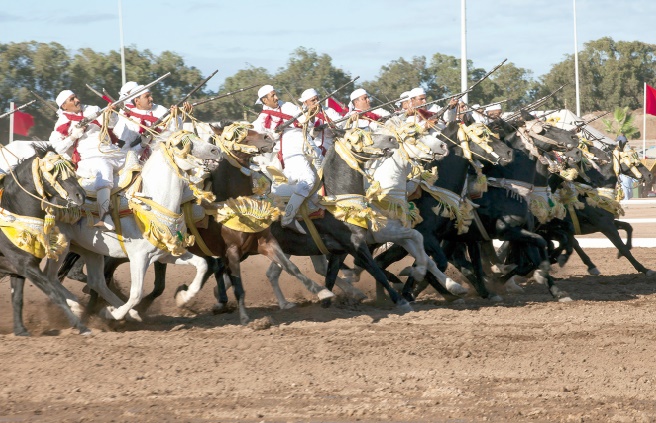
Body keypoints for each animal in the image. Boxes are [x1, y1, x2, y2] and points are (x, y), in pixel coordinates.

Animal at [1, 147, 88, 336]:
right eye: (54, 172)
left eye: (71, 168)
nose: (81, 195)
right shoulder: (27, 266)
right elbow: (55, 295)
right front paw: (81, 326)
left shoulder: (18, 269)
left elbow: (17, 298)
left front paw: (20, 330)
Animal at [46, 132, 220, 322]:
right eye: (182, 144)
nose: (215, 150)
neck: (152, 203)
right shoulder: (139, 258)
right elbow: (136, 293)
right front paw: (114, 313)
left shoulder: (165, 255)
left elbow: (202, 264)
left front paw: (183, 297)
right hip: (62, 246)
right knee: (51, 277)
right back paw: (79, 307)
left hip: (89, 250)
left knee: (96, 282)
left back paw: (123, 312)